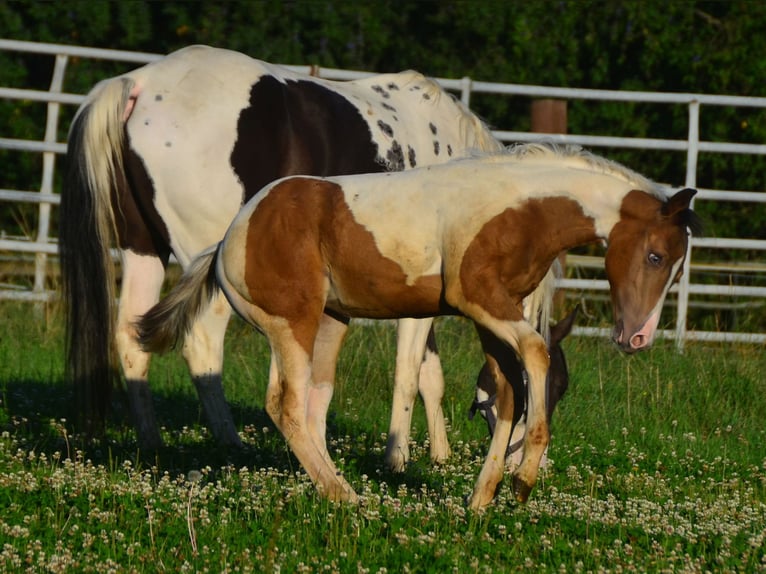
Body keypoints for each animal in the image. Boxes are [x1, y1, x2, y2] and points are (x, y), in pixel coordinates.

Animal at [60, 43, 534, 462]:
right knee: (201, 343)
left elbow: (428, 374)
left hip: (143, 248)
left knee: (131, 337)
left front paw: (438, 454)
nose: (525, 459)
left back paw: (153, 442)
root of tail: (139, 84)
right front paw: (397, 458)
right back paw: (231, 442)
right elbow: (408, 369)